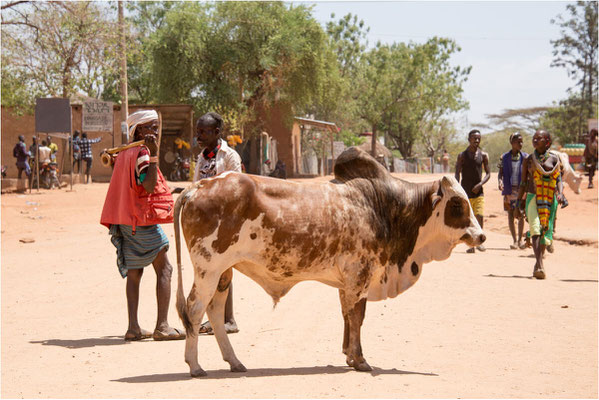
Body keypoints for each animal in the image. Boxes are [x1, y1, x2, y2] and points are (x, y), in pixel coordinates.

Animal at [172, 148, 482, 378]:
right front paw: (360, 360)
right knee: (195, 309)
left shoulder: (347, 282)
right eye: (457, 204)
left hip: (223, 273)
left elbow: (348, 316)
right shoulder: (360, 275)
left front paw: (349, 356)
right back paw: (195, 366)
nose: (481, 236)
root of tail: (198, 186)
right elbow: (356, 317)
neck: (386, 207)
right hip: (208, 269)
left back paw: (234, 362)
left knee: (214, 311)